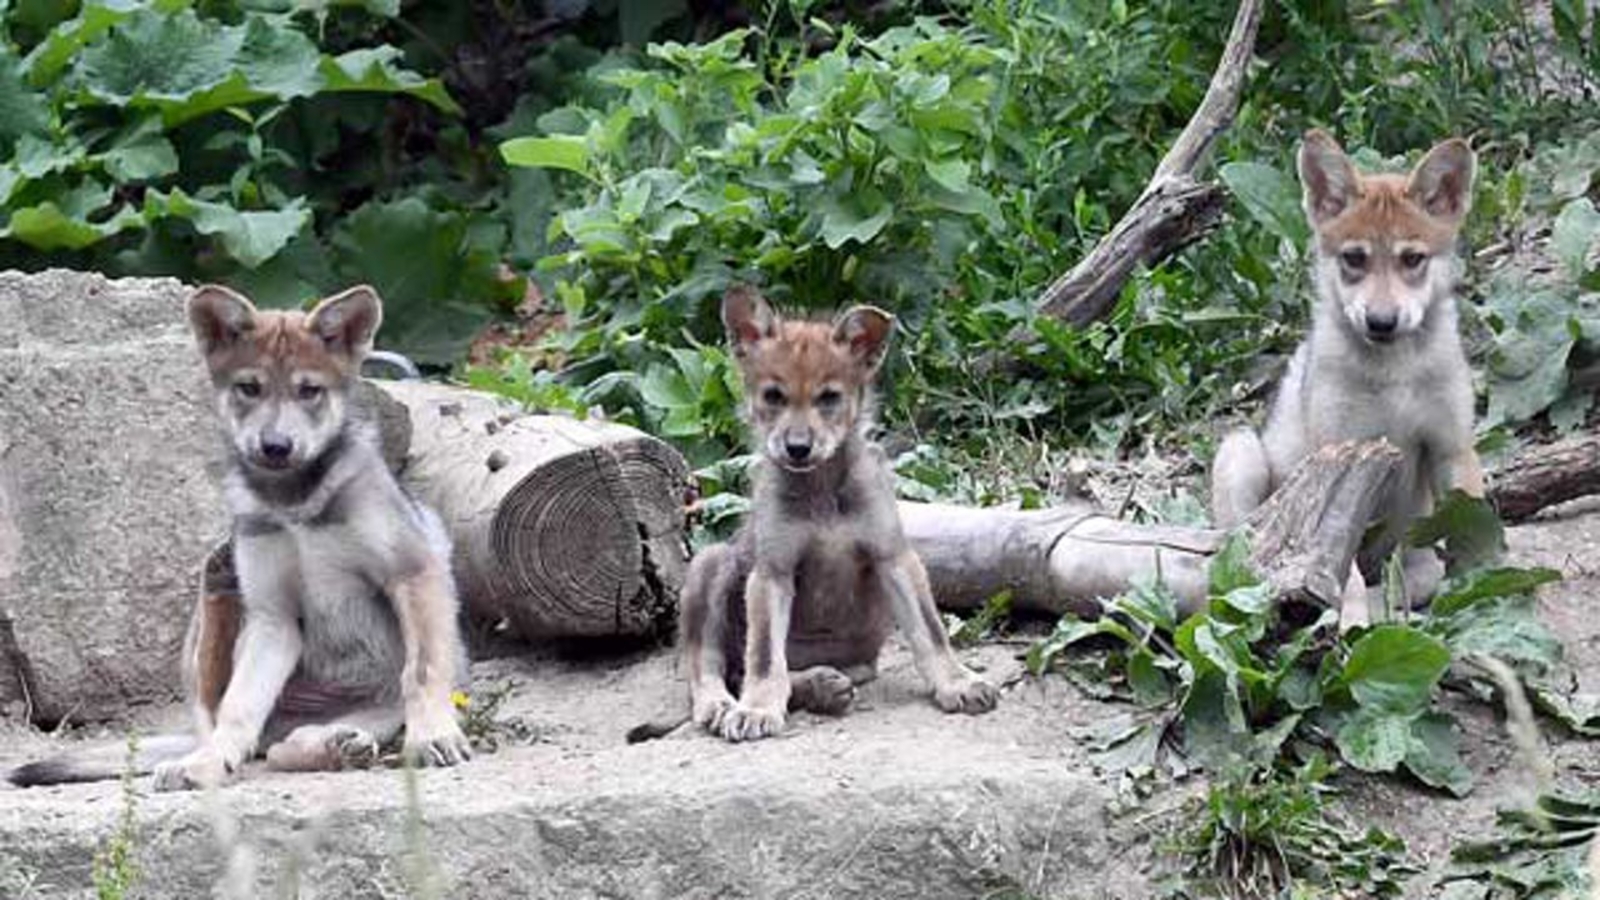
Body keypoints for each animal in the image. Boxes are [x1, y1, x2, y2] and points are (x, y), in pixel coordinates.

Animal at [7, 284, 472, 790]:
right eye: (249, 388)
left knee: (290, 746)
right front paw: (210, 762)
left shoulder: (412, 571)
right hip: (227, 626)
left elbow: (422, 670)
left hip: (377, 711)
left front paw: (432, 737)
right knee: (241, 730)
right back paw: (219, 755)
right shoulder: (274, 616)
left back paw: (337, 745)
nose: (275, 447)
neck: (293, 504)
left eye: (309, 391)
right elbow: (238, 707)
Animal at [630, 285, 998, 744]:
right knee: (711, 668)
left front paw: (957, 683)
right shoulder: (772, 573)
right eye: (773, 396)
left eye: (829, 398)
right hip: (711, 565)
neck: (822, 491)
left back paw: (822, 684)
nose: (798, 448)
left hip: (857, 662)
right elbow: (766, 658)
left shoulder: (893, 556)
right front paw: (757, 708)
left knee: (767, 673)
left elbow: (932, 632)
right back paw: (730, 703)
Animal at [1210, 130, 1484, 607]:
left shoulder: (1451, 448)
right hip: (1240, 452)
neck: (1394, 374)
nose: (1381, 322)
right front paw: (1351, 618)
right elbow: (1343, 575)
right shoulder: (1340, 465)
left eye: (1413, 259)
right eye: (1354, 258)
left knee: (1419, 570)